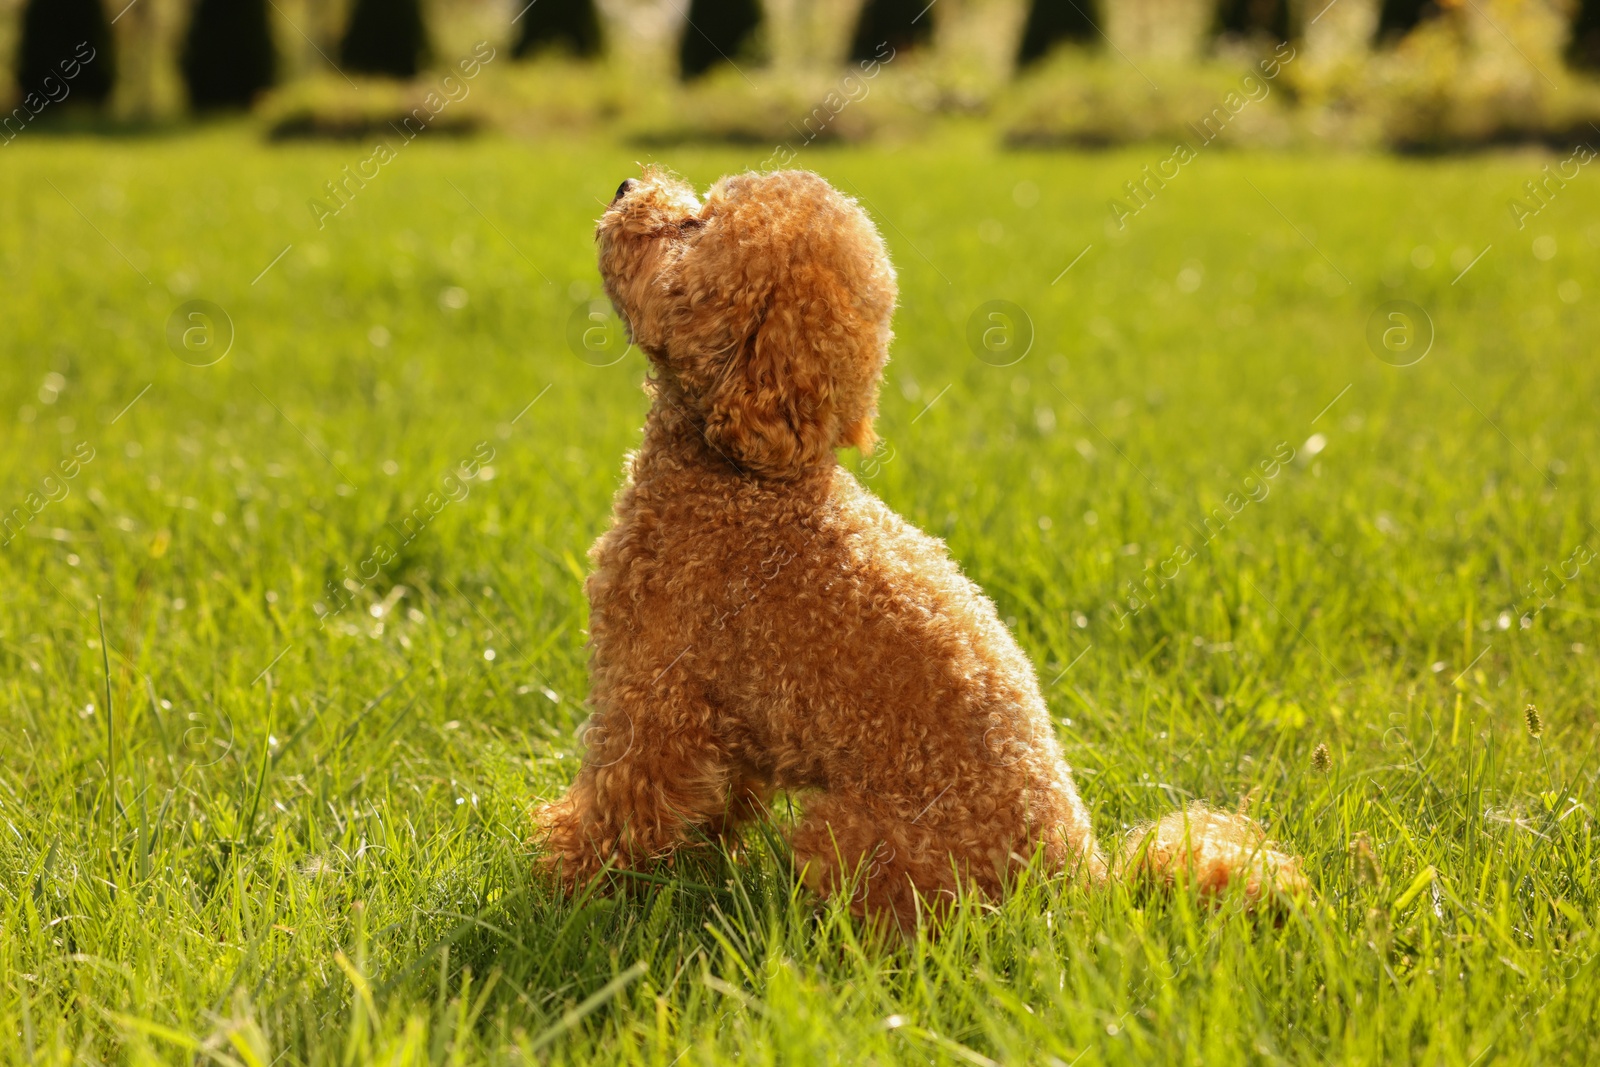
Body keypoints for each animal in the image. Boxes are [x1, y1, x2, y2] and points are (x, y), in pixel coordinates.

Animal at [534, 164, 1299, 927]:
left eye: (695, 226)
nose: (625, 185)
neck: (749, 481)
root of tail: (1084, 887)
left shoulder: (657, 690)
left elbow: (621, 804)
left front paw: (566, 888)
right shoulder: (723, 727)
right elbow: (709, 807)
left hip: (854, 837)